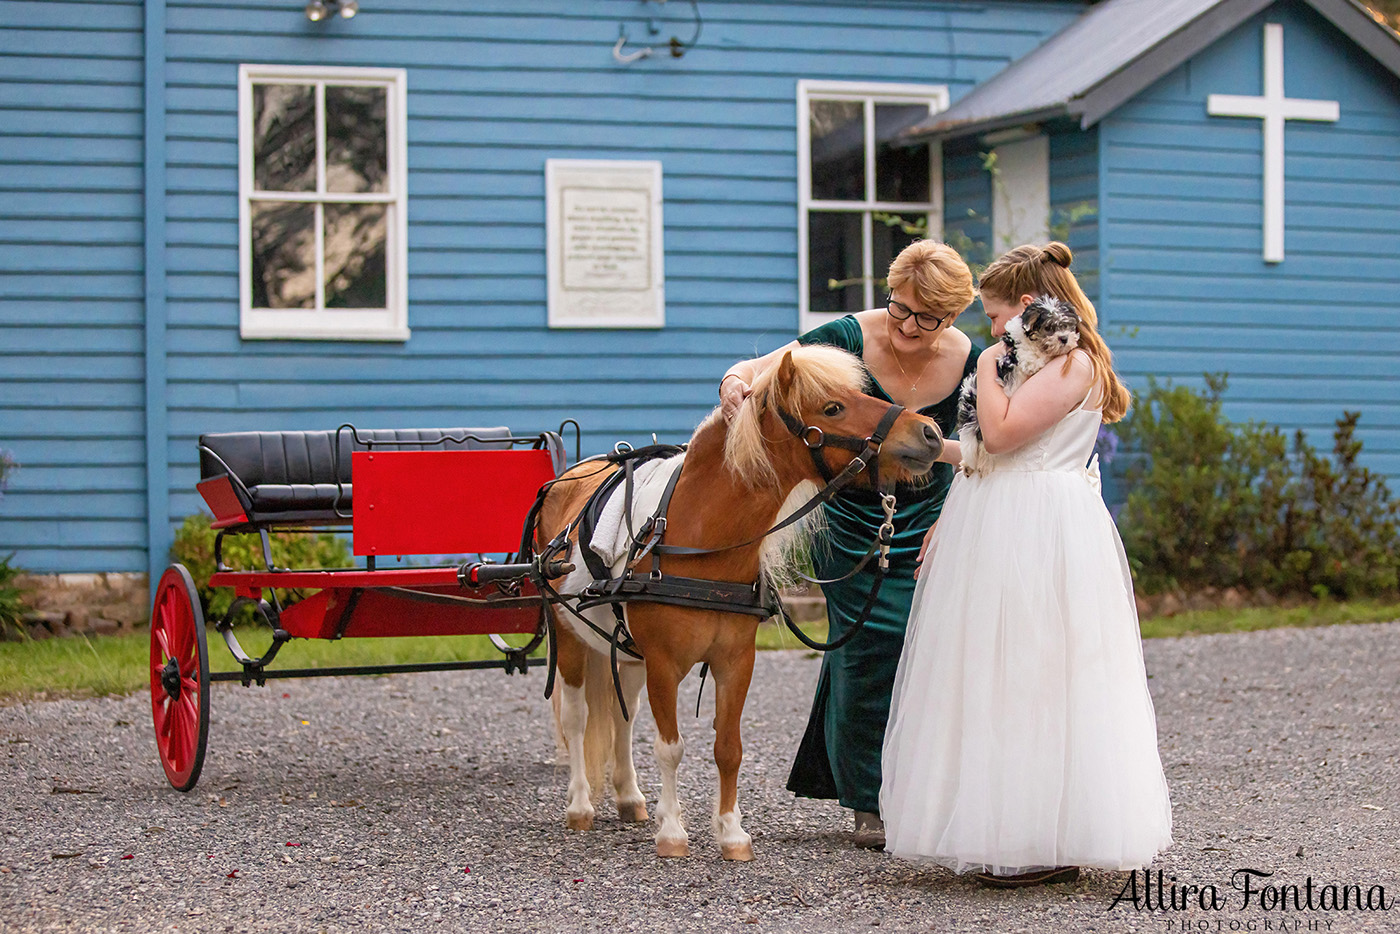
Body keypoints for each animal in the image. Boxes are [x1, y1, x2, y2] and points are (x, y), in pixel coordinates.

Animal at [952, 295, 1080, 476]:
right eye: (1048, 327)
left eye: (1067, 325)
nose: (1064, 338)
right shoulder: (1025, 357)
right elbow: (1035, 357)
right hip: (971, 426)